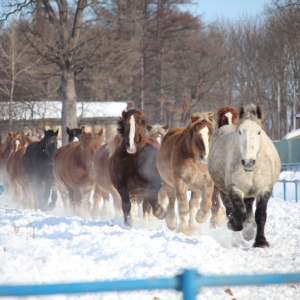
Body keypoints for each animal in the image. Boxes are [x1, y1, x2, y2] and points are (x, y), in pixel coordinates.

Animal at [209, 104, 282, 247]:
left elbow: (260, 215)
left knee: (248, 205)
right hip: (223, 190)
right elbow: (238, 213)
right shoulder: (234, 188)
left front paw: (260, 241)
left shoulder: (265, 189)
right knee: (231, 210)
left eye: (259, 132)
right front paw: (234, 225)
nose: (248, 162)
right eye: (240, 132)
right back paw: (238, 239)